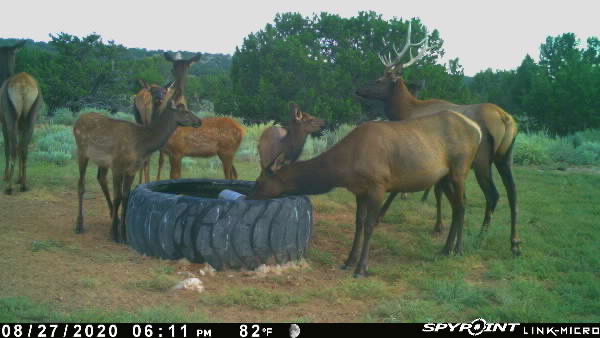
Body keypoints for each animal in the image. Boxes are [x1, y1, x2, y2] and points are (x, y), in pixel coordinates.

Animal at [0, 41, 43, 195]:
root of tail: (24, 86)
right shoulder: (21, 124)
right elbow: (20, 146)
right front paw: (18, 178)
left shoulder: (3, 121)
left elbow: (7, 147)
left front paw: (6, 175)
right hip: (31, 116)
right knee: (24, 147)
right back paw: (24, 184)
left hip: (11, 116)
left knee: (12, 146)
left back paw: (9, 187)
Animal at [74, 103, 202, 243]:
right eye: (184, 111)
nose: (199, 121)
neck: (142, 146)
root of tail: (77, 120)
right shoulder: (117, 165)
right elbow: (117, 197)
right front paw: (114, 234)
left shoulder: (132, 169)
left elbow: (126, 196)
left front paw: (124, 234)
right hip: (82, 151)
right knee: (81, 185)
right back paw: (79, 225)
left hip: (102, 162)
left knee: (101, 178)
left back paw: (114, 216)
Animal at [248, 111, 482, 278]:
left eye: (260, 181)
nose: (248, 196)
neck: (342, 169)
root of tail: (477, 129)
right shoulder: (359, 190)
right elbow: (358, 222)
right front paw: (348, 261)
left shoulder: (378, 185)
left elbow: (370, 224)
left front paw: (361, 268)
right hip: (443, 177)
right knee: (456, 205)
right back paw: (446, 248)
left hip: (459, 169)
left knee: (462, 204)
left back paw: (458, 249)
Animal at [356, 22, 520, 255]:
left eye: (379, 79)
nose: (359, 89)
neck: (406, 111)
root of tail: (505, 119)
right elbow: (437, 190)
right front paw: (439, 225)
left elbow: (411, 188)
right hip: (505, 156)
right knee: (513, 192)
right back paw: (514, 243)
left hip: (482, 160)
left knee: (493, 194)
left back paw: (481, 236)